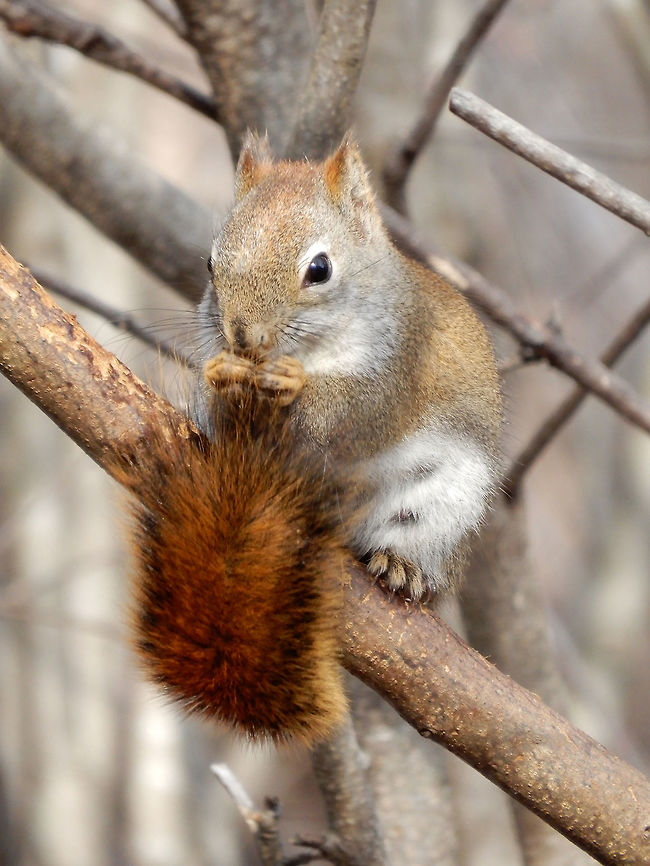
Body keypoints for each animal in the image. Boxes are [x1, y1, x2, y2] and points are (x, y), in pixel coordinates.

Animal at [129, 133, 502, 744]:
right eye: (210, 263)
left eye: (320, 269)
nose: (243, 337)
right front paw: (221, 376)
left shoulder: (398, 367)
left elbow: (349, 413)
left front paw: (291, 386)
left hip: (445, 506)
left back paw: (403, 567)